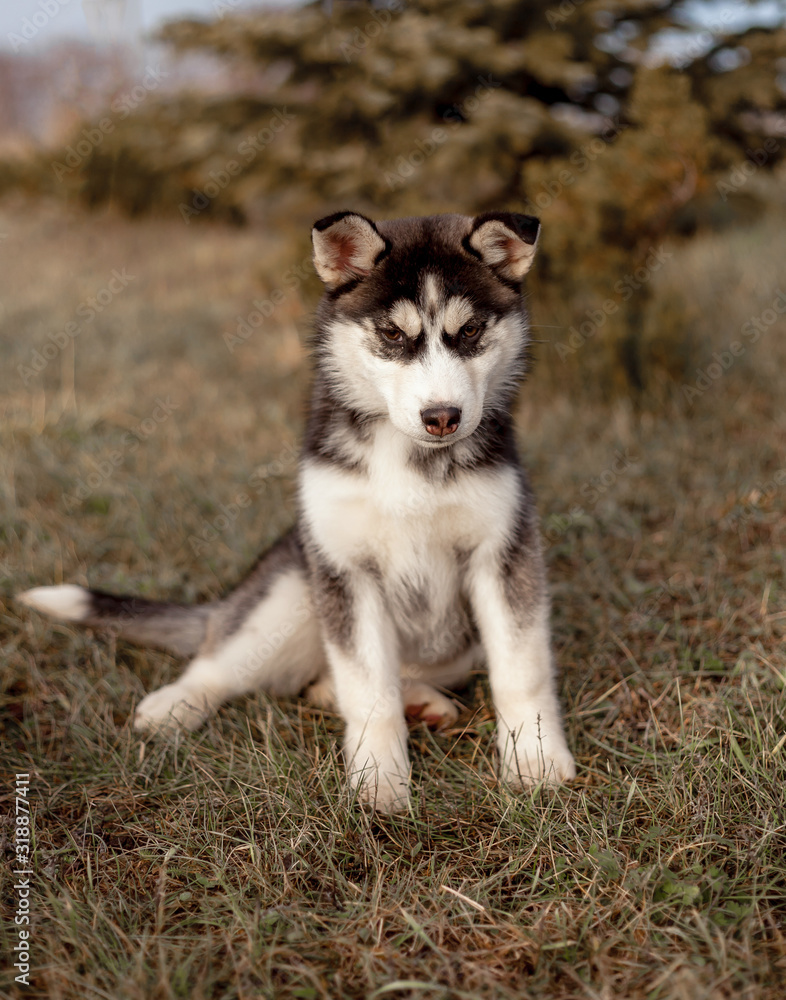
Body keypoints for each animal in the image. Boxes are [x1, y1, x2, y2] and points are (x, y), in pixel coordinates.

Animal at [16, 213, 568, 812]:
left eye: (468, 332)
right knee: (227, 662)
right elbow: (367, 687)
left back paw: (421, 701)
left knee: (332, 682)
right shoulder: (345, 566)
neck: (410, 461)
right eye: (393, 334)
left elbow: (521, 671)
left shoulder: (504, 554)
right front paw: (379, 778)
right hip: (290, 588)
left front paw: (536, 761)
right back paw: (175, 704)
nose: (441, 416)